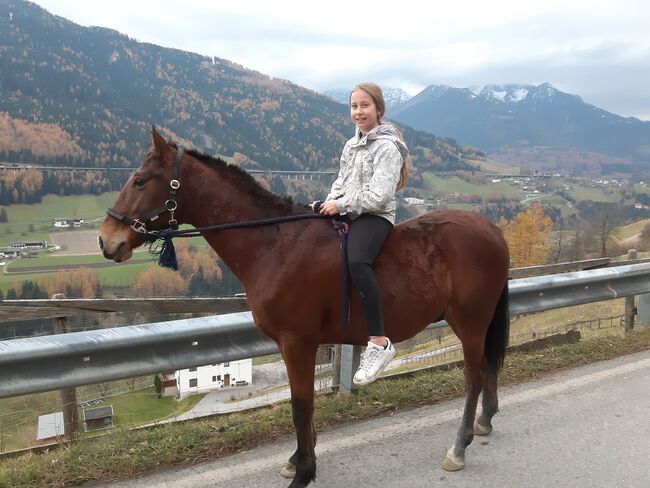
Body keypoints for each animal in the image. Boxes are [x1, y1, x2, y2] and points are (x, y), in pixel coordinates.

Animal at [98, 127, 508, 486]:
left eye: (139, 181)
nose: (105, 240)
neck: (274, 243)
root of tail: (491, 229)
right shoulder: (294, 345)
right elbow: (304, 407)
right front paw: (298, 461)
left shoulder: (298, 343)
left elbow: (300, 407)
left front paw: (304, 473)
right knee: (487, 368)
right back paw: (484, 421)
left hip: (470, 322)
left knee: (473, 376)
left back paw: (459, 446)